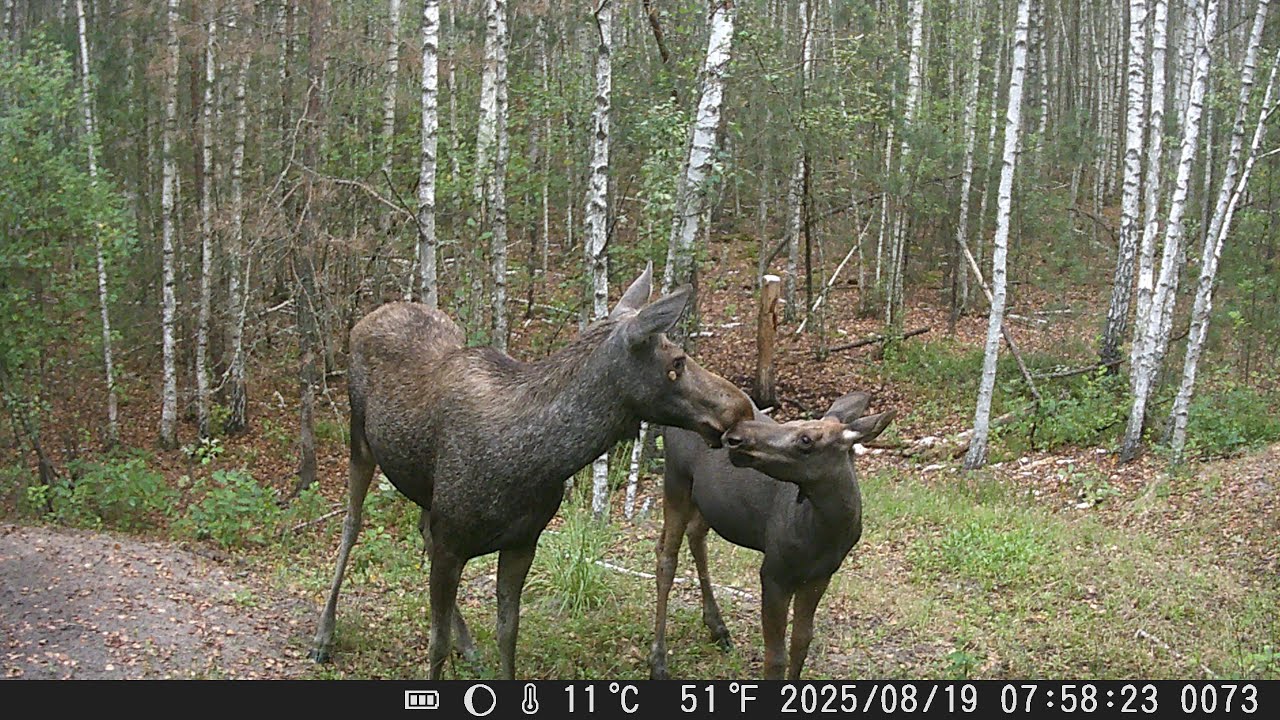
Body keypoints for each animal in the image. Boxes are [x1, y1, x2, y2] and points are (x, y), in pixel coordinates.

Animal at [309, 264, 755, 680]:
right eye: (676, 361)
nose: (740, 406)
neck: (531, 463)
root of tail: (374, 313)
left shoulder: (523, 542)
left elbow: (508, 634)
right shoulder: (453, 542)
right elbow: (435, 645)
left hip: (423, 486)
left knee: (420, 530)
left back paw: (467, 644)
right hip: (359, 439)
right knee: (351, 523)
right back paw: (323, 636)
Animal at [648, 391, 894, 680]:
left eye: (806, 439)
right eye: (792, 425)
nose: (735, 437)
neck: (824, 534)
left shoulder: (820, 576)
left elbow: (801, 642)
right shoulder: (774, 572)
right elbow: (775, 657)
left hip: (705, 501)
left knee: (692, 535)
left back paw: (717, 627)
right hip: (676, 478)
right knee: (667, 558)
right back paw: (658, 663)